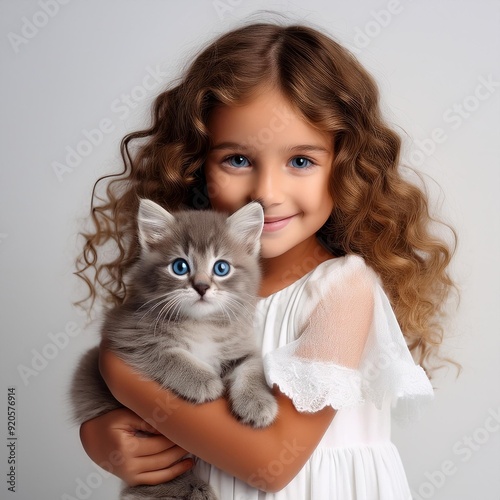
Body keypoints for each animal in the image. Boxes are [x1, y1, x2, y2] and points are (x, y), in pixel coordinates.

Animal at [71, 199, 278, 500]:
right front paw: (202, 381)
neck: (200, 324)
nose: (201, 286)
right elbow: (169, 355)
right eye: (180, 266)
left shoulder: (238, 346)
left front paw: (257, 403)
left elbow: (252, 367)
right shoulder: (126, 335)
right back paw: (188, 488)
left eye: (221, 268)